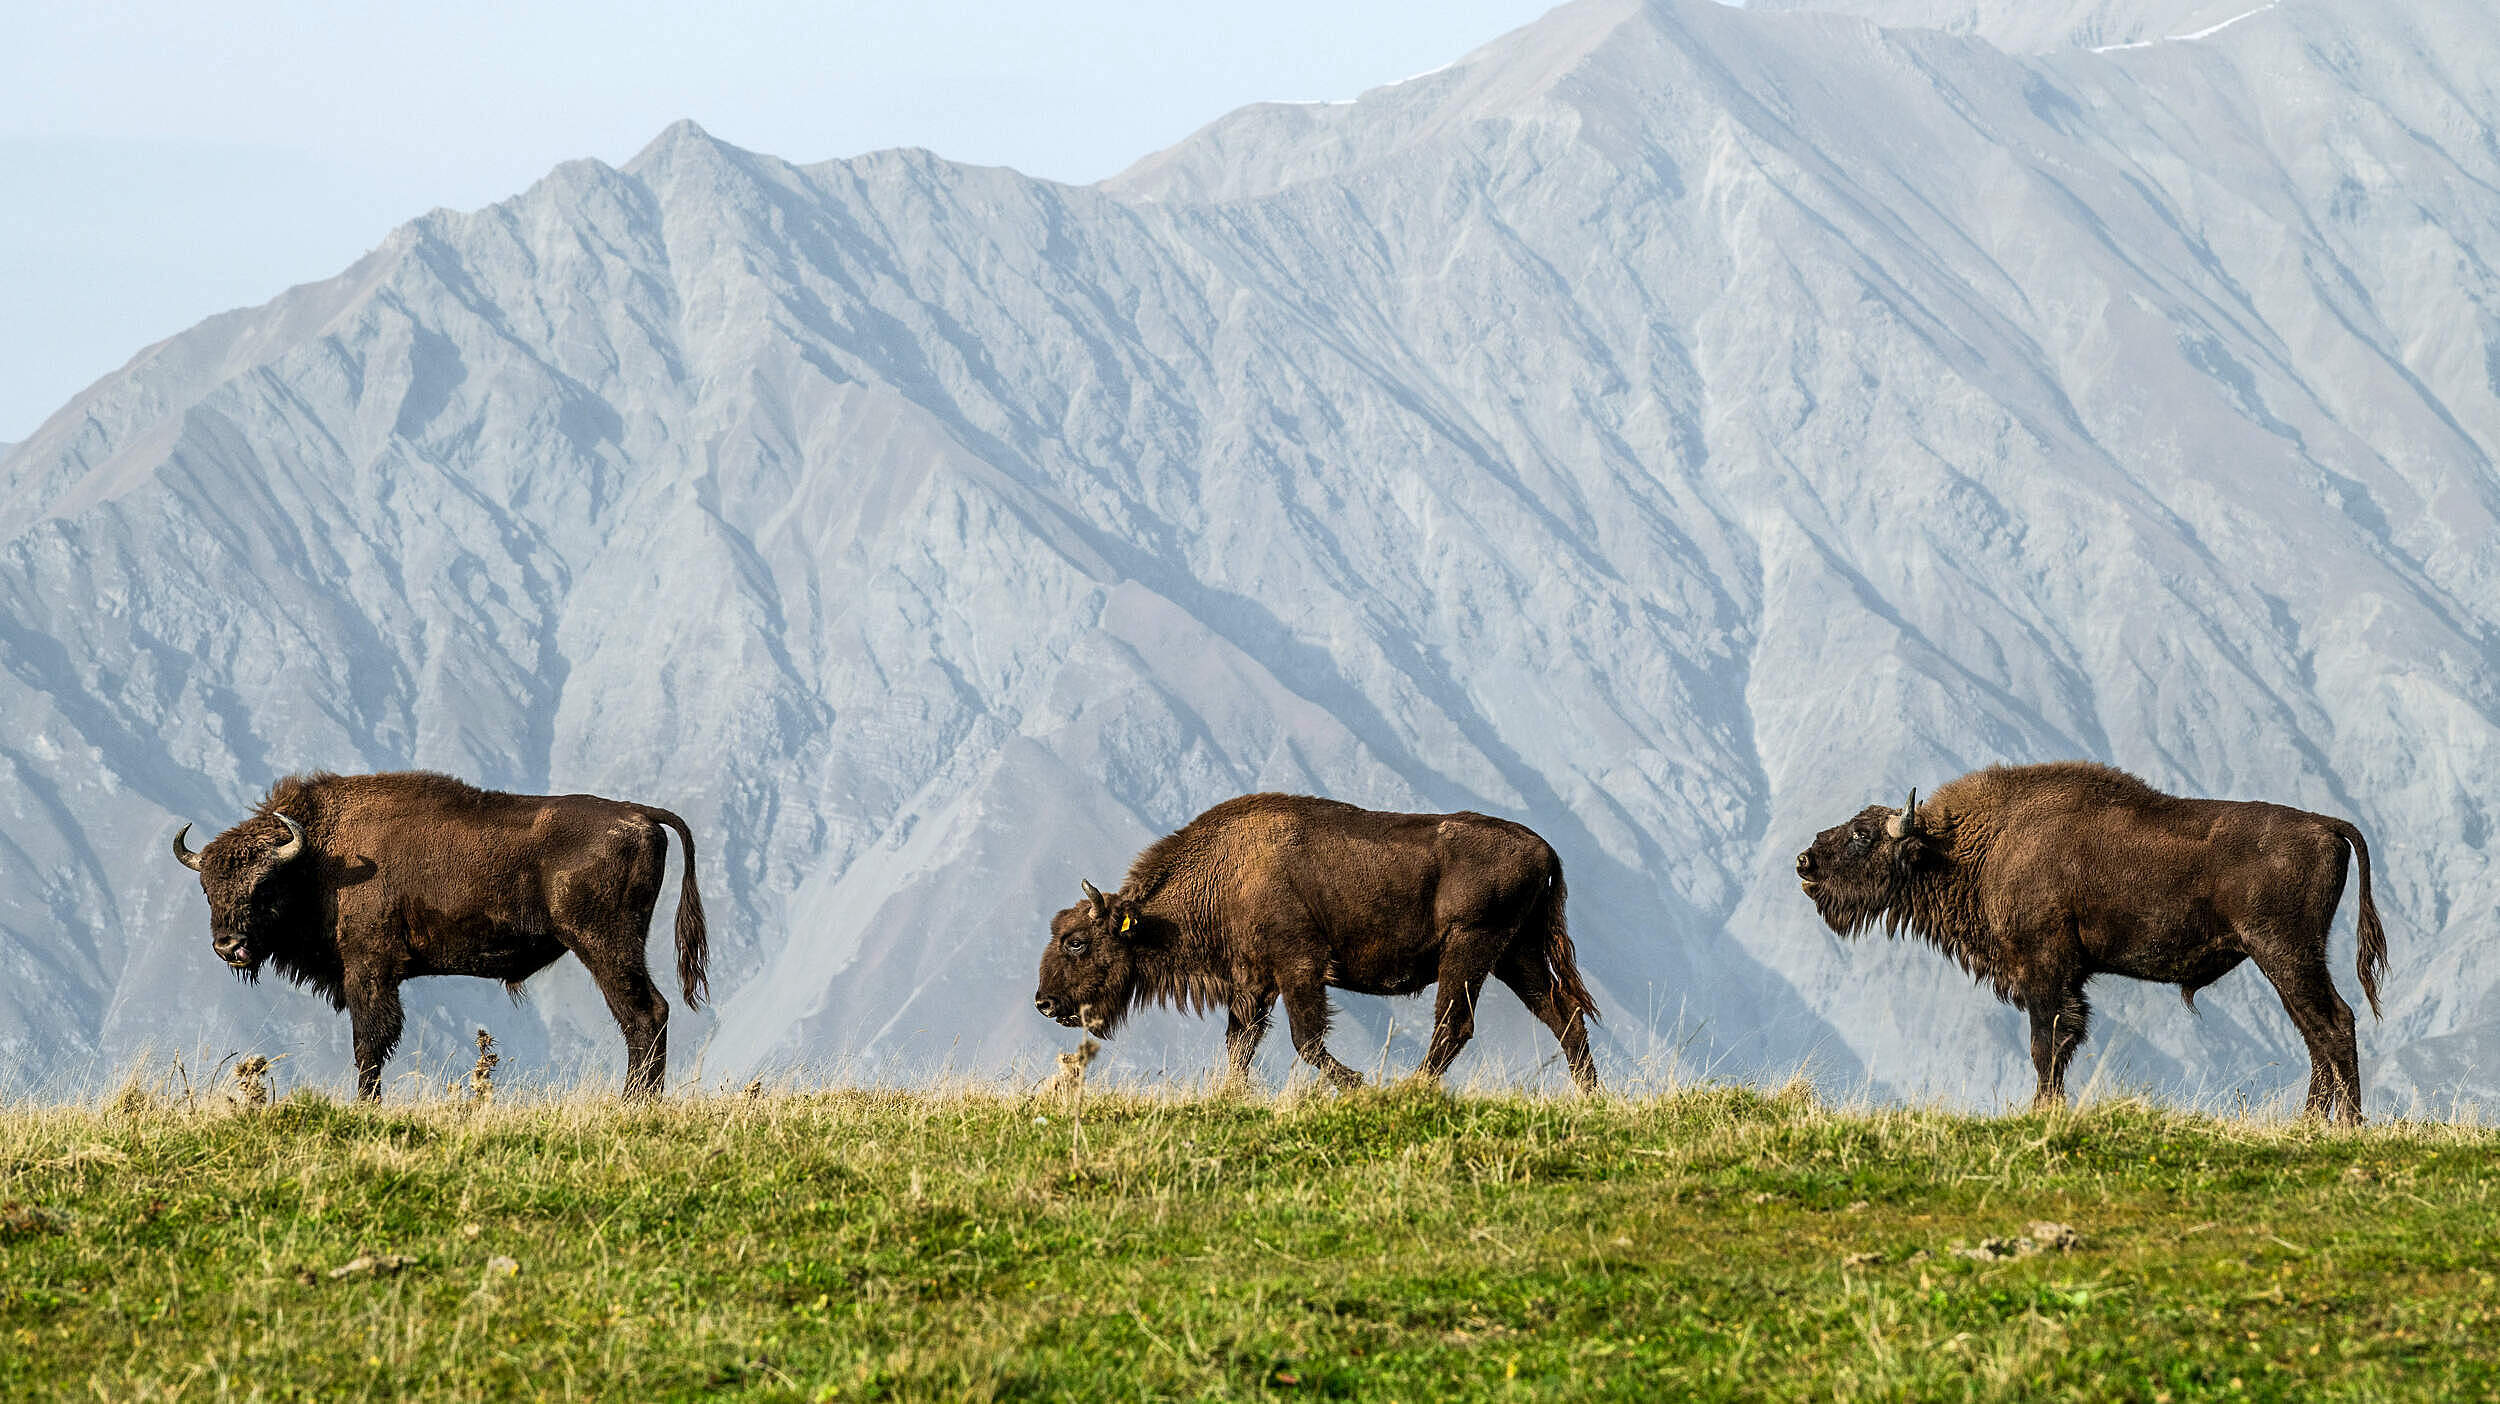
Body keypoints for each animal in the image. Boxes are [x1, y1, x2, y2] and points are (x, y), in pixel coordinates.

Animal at [175, 769, 705, 1099]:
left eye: (265, 886)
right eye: (207, 888)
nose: (228, 946)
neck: (318, 855)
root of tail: (639, 814)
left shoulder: (369, 970)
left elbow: (369, 1043)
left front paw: (367, 1105)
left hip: (605, 946)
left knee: (645, 1015)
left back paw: (633, 1103)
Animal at [1030, 794, 1600, 1089]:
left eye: (1076, 942)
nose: (1044, 1003)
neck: (1224, 874)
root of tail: (1545, 849)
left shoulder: (1299, 967)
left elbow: (1305, 1039)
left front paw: (1359, 1083)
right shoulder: (1254, 985)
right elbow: (1239, 1046)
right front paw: (1230, 1095)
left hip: (1471, 950)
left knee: (1454, 1024)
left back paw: (1408, 1089)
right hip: (1516, 955)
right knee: (1563, 1015)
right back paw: (1589, 1095)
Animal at [1800, 759, 2380, 1119]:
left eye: (1861, 836)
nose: (1805, 862)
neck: (1973, 845)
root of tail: (2326, 824)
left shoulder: (2044, 971)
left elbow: (2047, 1045)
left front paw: (2042, 1110)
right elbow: (2062, 1043)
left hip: (2285, 954)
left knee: (2334, 1023)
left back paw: (2346, 1125)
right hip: (2288, 962)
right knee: (2317, 1035)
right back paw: (2312, 1122)